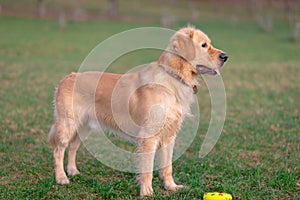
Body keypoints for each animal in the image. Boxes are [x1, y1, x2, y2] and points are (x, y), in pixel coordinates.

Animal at [49, 26, 227, 197]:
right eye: (204, 45)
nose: (225, 56)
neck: (173, 78)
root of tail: (68, 77)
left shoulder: (169, 136)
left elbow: (167, 166)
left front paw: (171, 186)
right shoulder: (148, 137)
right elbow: (147, 168)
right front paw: (146, 191)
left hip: (84, 127)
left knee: (73, 147)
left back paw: (73, 171)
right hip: (67, 124)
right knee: (58, 150)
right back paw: (61, 178)